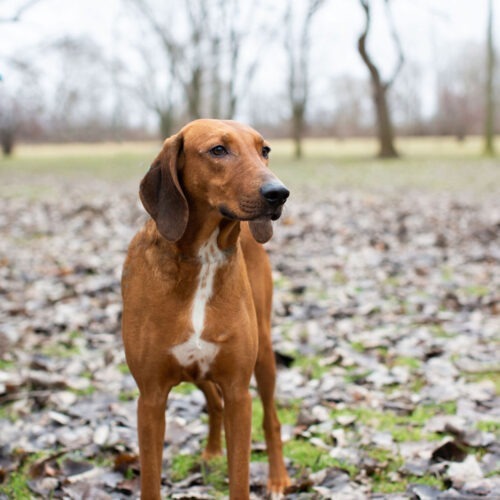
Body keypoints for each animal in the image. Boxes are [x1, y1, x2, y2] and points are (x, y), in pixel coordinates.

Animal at [121, 119, 292, 498]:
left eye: (265, 150)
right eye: (218, 150)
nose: (279, 193)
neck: (204, 257)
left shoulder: (239, 392)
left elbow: (240, 477)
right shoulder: (150, 397)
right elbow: (150, 480)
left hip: (263, 353)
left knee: (271, 419)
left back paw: (278, 479)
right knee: (213, 400)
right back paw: (213, 452)